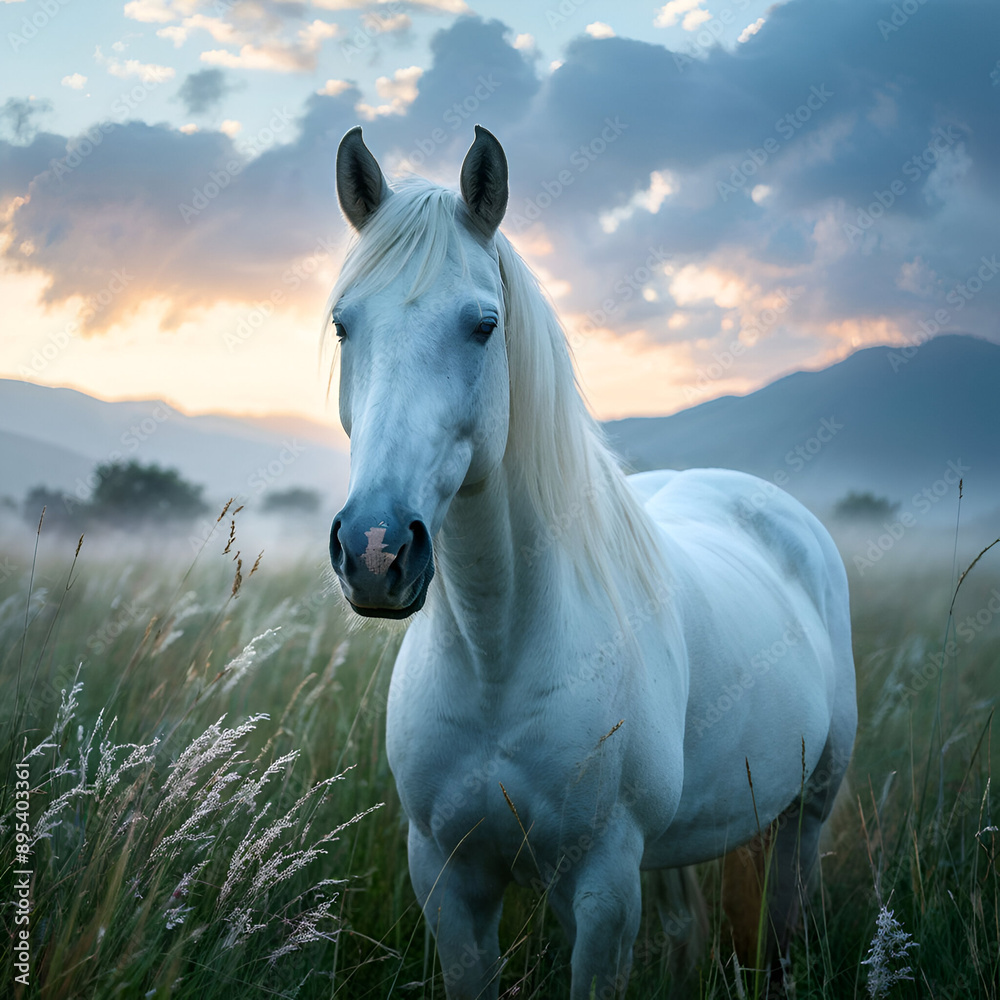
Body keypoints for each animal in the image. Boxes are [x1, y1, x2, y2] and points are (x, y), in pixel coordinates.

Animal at [326, 124, 857, 999]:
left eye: (483, 325)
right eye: (344, 325)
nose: (376, 549)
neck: (497, 653)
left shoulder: (603, 885)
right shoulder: (446, 878)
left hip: (805, 813)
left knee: (781, 919)